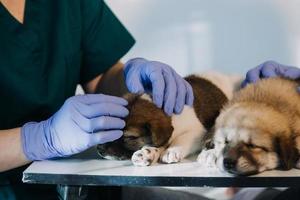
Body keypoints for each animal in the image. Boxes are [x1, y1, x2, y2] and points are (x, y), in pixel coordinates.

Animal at [97, 72, 243, 166]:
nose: (99, 149)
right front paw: (148, 152)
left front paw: (171, 150)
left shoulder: (198, 131)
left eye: (129, 137)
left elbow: (181, 138)